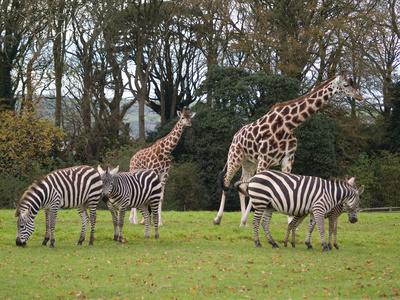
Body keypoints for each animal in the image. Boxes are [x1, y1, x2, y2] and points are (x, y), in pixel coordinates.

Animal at [236, 169, 364, 251]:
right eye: (358, 205)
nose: (354, 221)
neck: (331, 193)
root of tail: (253, 177)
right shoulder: (320, 209)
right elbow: (322, 228)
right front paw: (326, 246)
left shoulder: (314, 211)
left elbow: (311, 227)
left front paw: (309, 244)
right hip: (260, 201)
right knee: (256, 222)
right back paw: (258, 243)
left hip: (268, 205)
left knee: (265, 223)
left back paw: (273, 243)